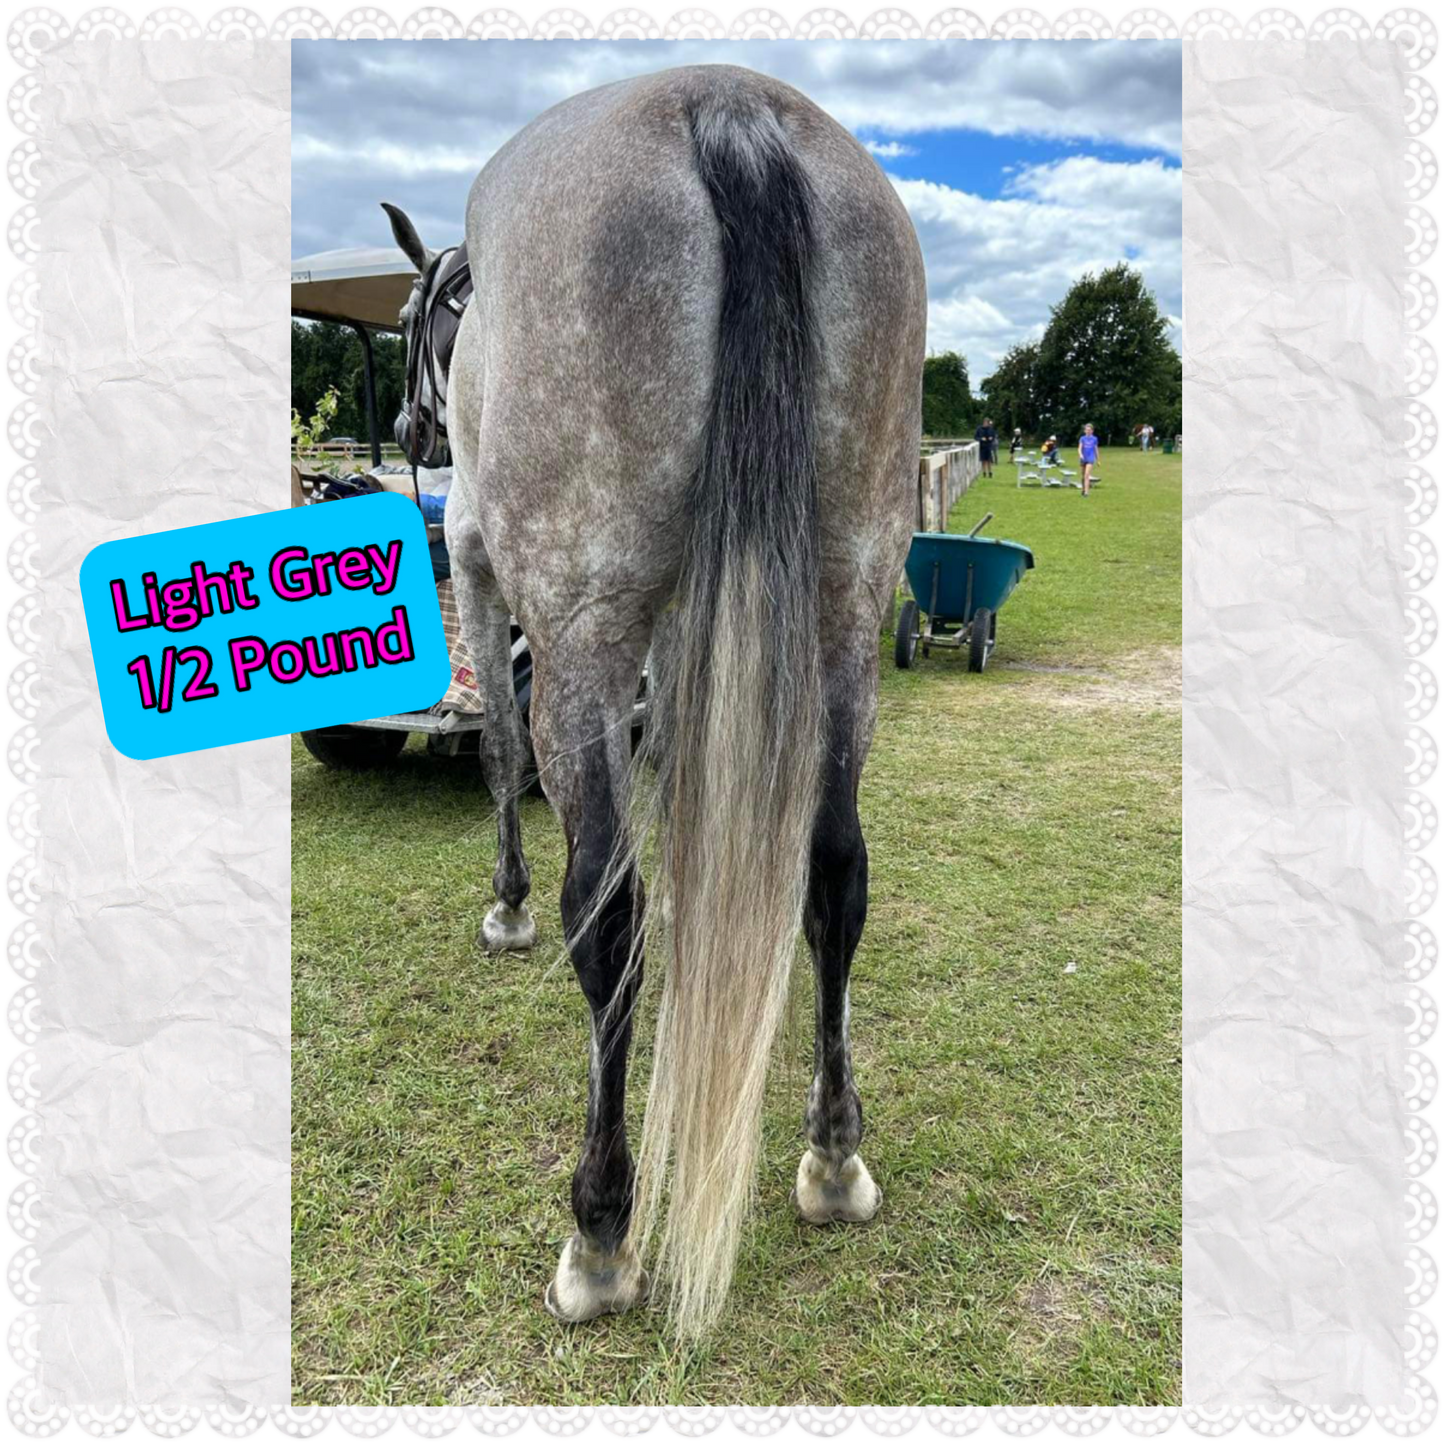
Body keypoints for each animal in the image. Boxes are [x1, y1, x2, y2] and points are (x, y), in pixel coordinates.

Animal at [384, 63, 925, 1339]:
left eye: (411, 322)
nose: (407, 428)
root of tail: (725, 106)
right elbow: (689, 767)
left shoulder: (478, 566)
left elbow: (498, 761)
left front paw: (506, 906)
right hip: (846, 596)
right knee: (833, 870)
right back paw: (832, 1155)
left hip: (579, 626)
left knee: (606, 907)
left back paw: (599, 1228)